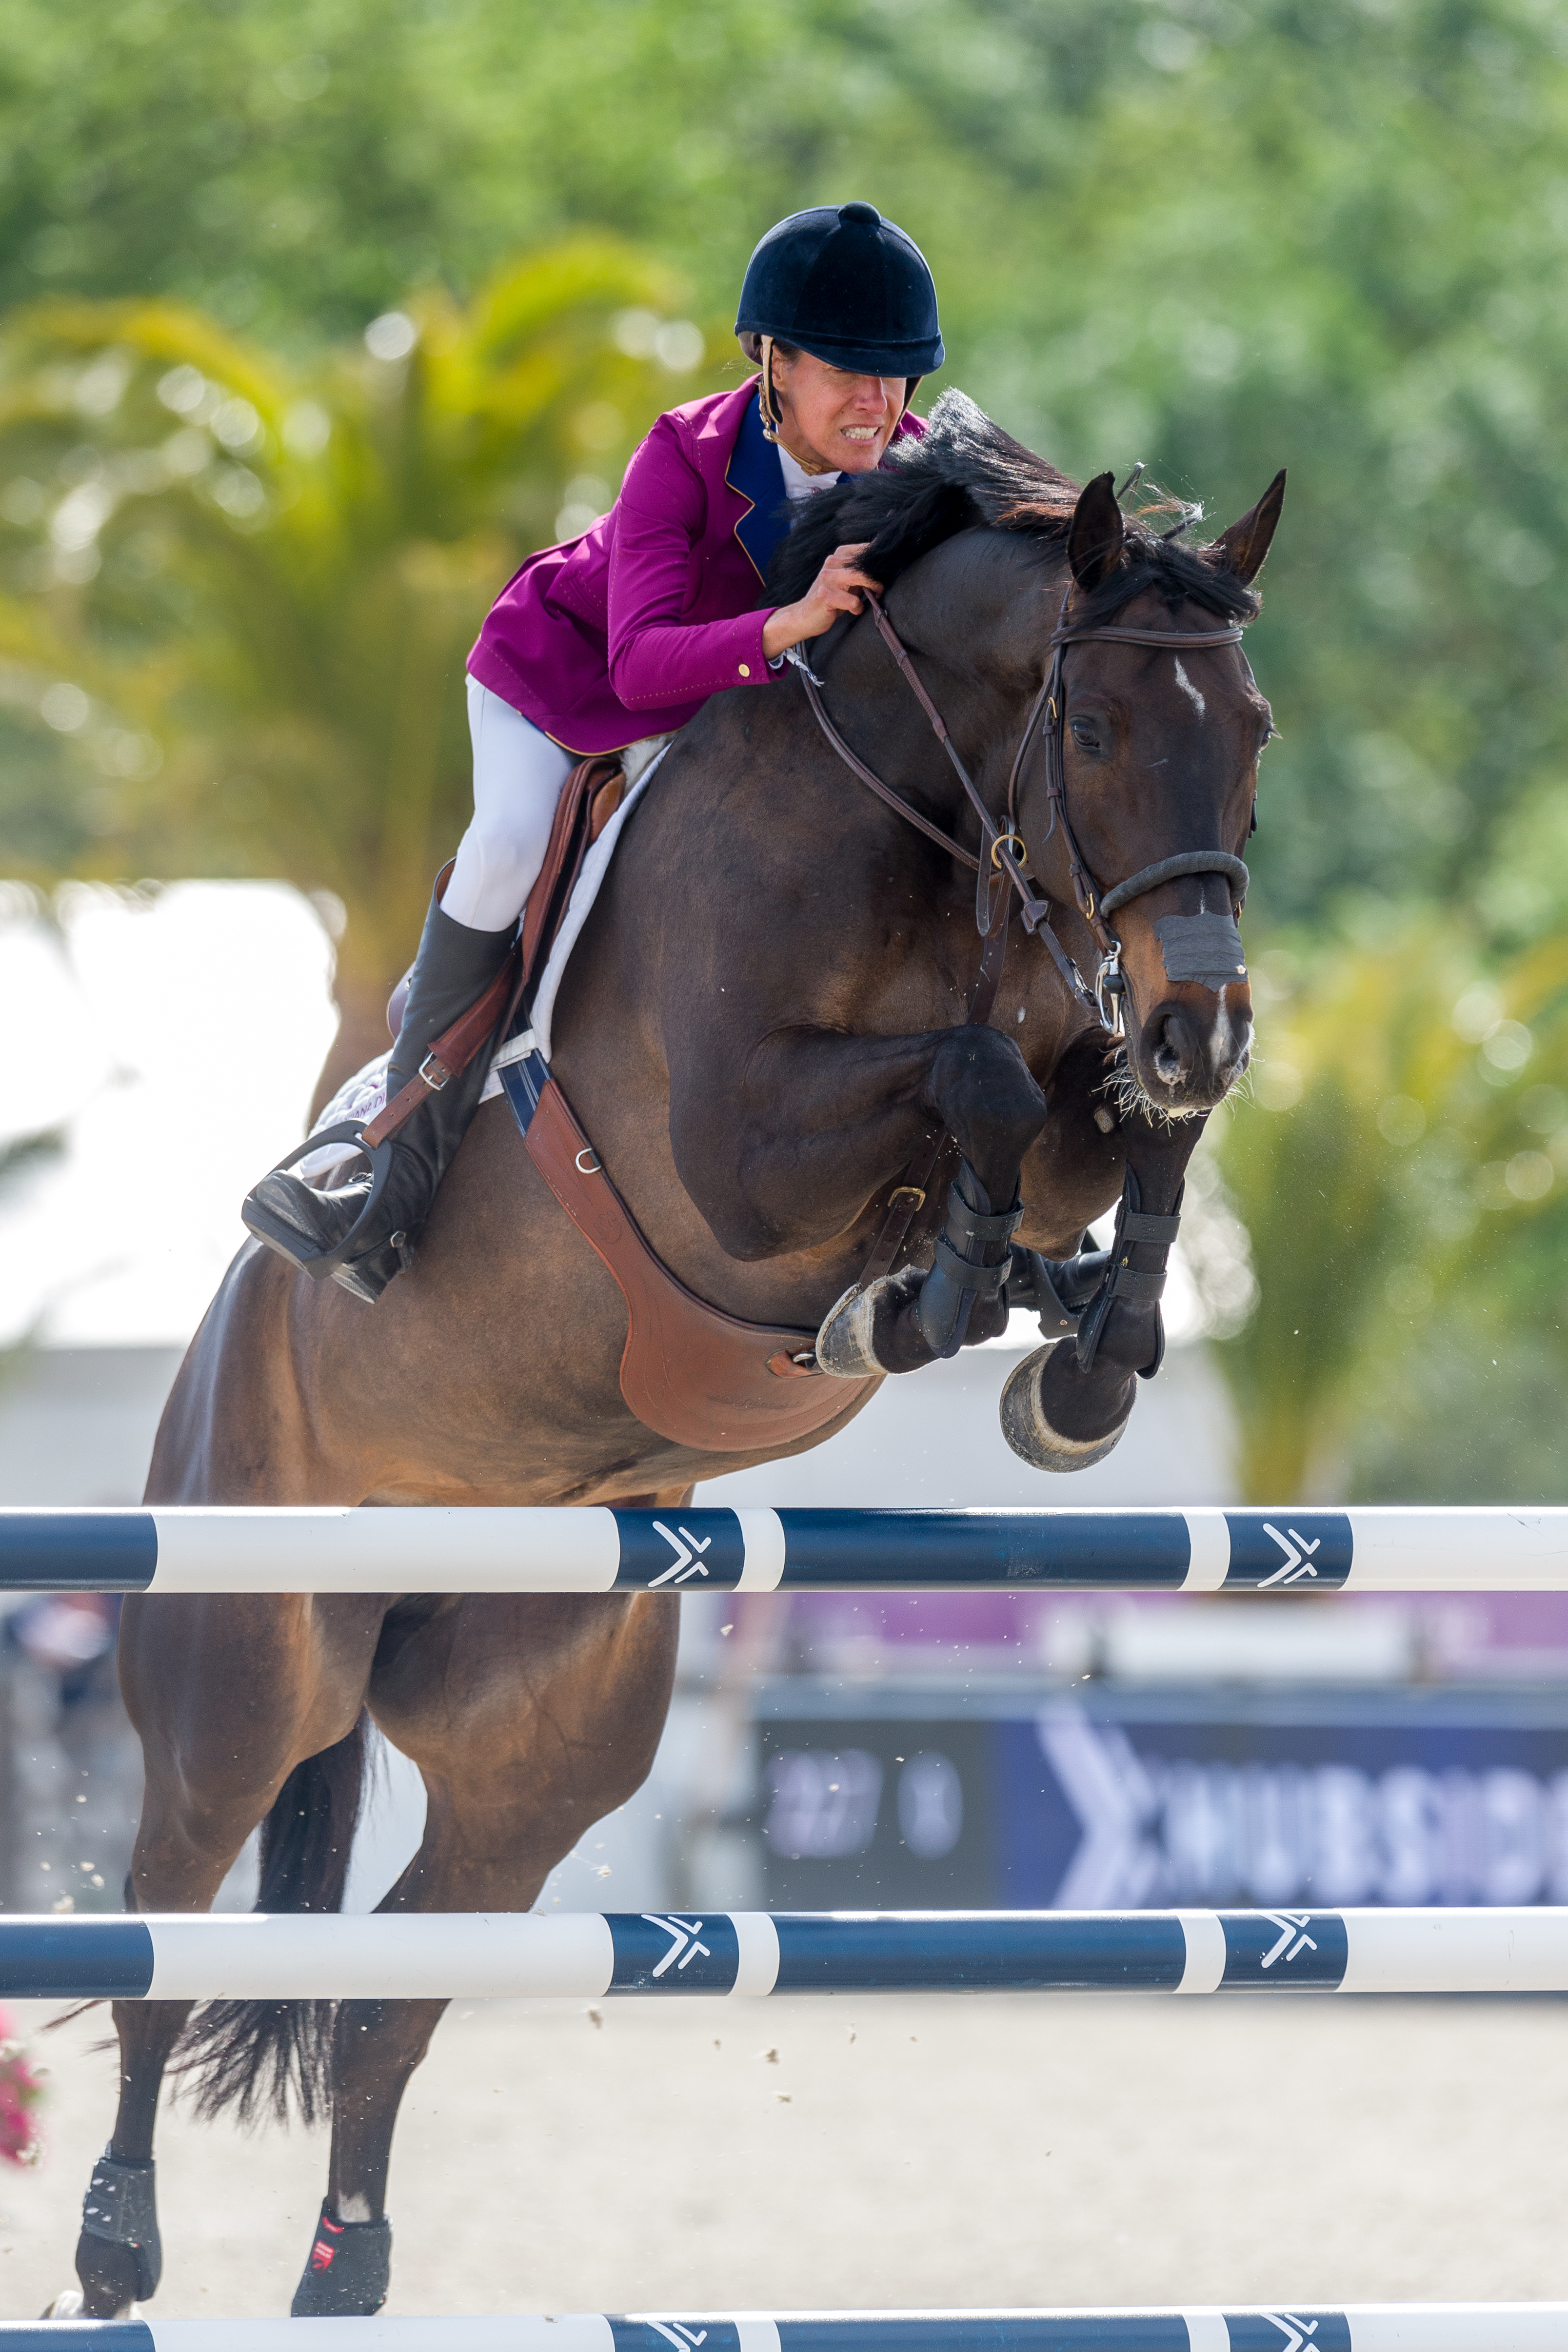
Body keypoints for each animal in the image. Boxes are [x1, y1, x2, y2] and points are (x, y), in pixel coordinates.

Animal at [52, 395, 1279, 2324]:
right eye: (1091, 728)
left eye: (1253, 736)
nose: (1206, 1023)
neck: (928, 833)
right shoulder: (736, 1153)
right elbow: (973, 1087)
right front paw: (936, 1294)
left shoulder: (1076, 1071)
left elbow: (1096, 1130)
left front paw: (1070, 1352)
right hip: (244, 1656)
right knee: (170, 1913)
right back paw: (115, 2240)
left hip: (543, 1736)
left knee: (392, 1993)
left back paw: (344, 2269)